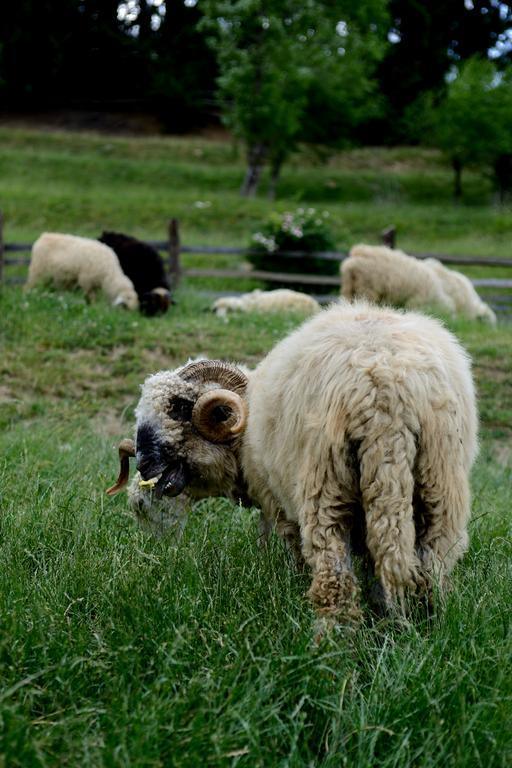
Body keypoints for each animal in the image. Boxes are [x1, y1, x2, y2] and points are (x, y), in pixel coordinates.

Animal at [106, 304, 478, 628]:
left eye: (180, 407)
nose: (145, 466)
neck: (244, 436)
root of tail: (384, 394)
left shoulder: (279, 504)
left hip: (325, 484)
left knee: (333, 576)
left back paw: (331, 645)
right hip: (439, 484)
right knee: (429, 564)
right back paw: (421, 625)